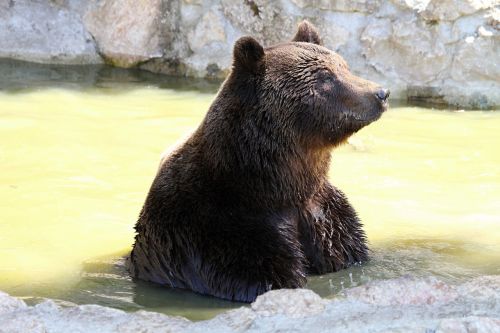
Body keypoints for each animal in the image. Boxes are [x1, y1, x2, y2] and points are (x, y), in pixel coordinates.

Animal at [127, 20, 388, 300]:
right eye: (325, 76)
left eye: (344, 66)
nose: (381, 93)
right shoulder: (218, 231)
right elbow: (262, 274)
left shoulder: (327, 217)